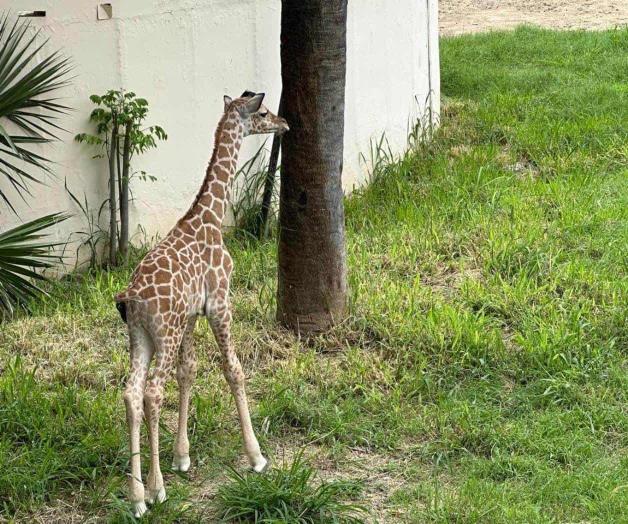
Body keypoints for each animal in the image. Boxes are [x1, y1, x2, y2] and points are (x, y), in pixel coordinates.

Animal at [114, 92, 288, 516]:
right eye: (262, 113)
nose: (285, 124)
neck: (210, 217)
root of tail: (131, 300)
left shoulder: (192, 316)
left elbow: (189, 372)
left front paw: (182, 456)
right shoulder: (220, 302)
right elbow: (234, 369)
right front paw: (256, 456)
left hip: (140, 338)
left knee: (131, 393)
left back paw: (137, 497)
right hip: (164, 333)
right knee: (152, 391)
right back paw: (157, 490)